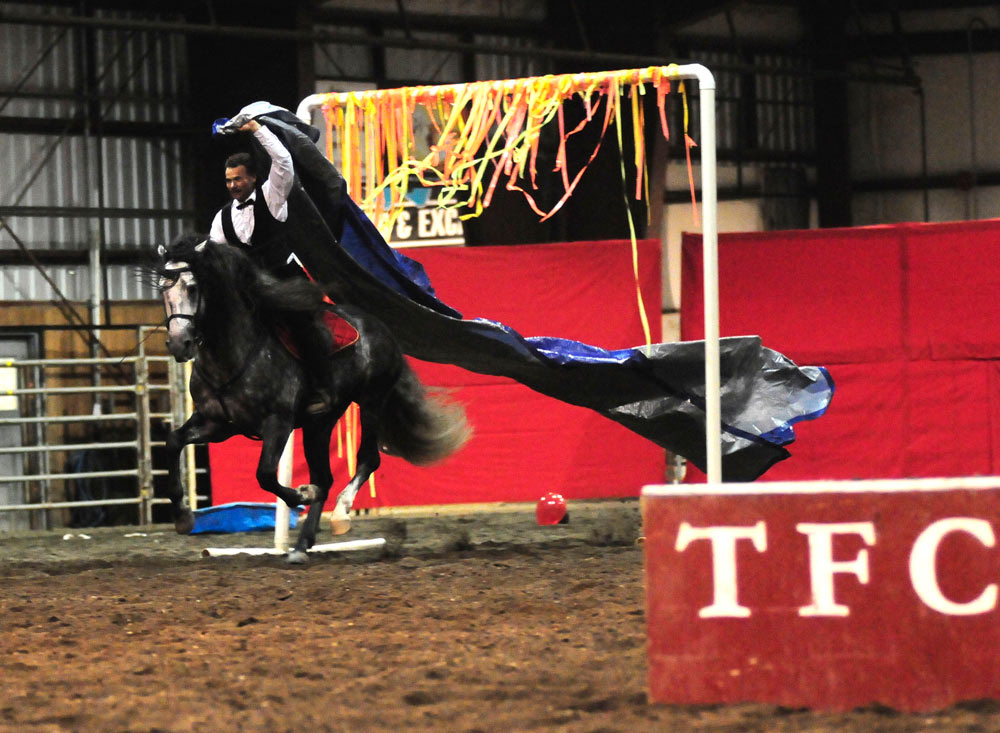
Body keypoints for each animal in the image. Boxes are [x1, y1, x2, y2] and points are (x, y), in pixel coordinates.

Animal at [154, 233, 470, 563]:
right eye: (163, 289)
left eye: (192, 287)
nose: (179, 343)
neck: (235, 354)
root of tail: (381, 329)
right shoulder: (216, 424)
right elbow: (173, 441)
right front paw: (182, 516)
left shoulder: (278, 422)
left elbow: (265, 474)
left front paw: (302, 494)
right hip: (319, 424)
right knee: (325, 476)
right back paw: (301, 545)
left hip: (370, 403)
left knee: (366, 460)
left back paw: (340, 513)